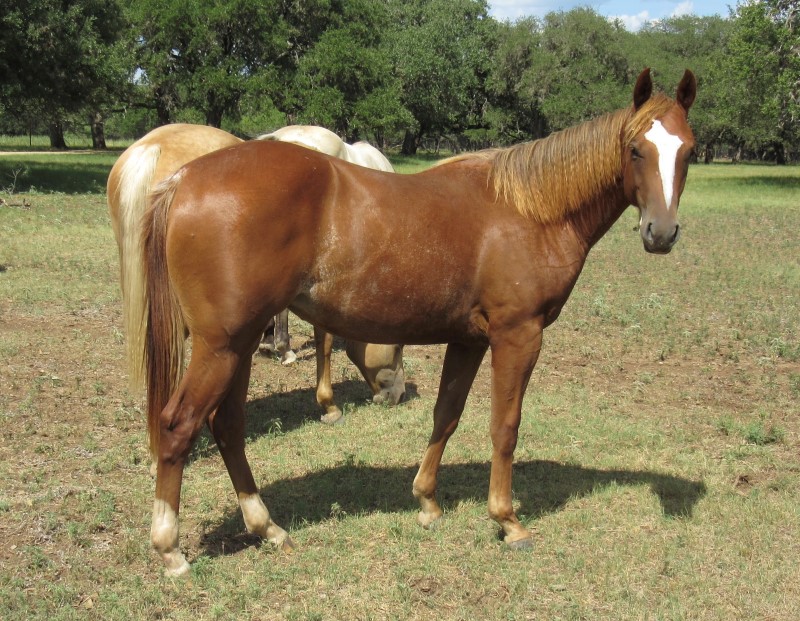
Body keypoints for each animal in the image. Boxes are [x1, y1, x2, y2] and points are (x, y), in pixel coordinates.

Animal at [104, 122, 406, 422]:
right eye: (398, 346)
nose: (398, 394)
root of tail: (151, 148)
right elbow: (324, 339)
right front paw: (326, 401)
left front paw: (273, 344)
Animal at [142, 69, 692, 576]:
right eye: (636, 150)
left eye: (688, 151)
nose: (660, 233)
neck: (529, 211)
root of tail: (184, 179)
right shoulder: (518, 336)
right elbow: (505, 426)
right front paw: (507, 521)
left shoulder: (469, 341)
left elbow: (446, 414)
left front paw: (427, 501)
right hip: (221, 346)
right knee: (178, 426)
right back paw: (170, 550)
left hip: (239, 344)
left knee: (227, 426)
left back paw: (267, 528)